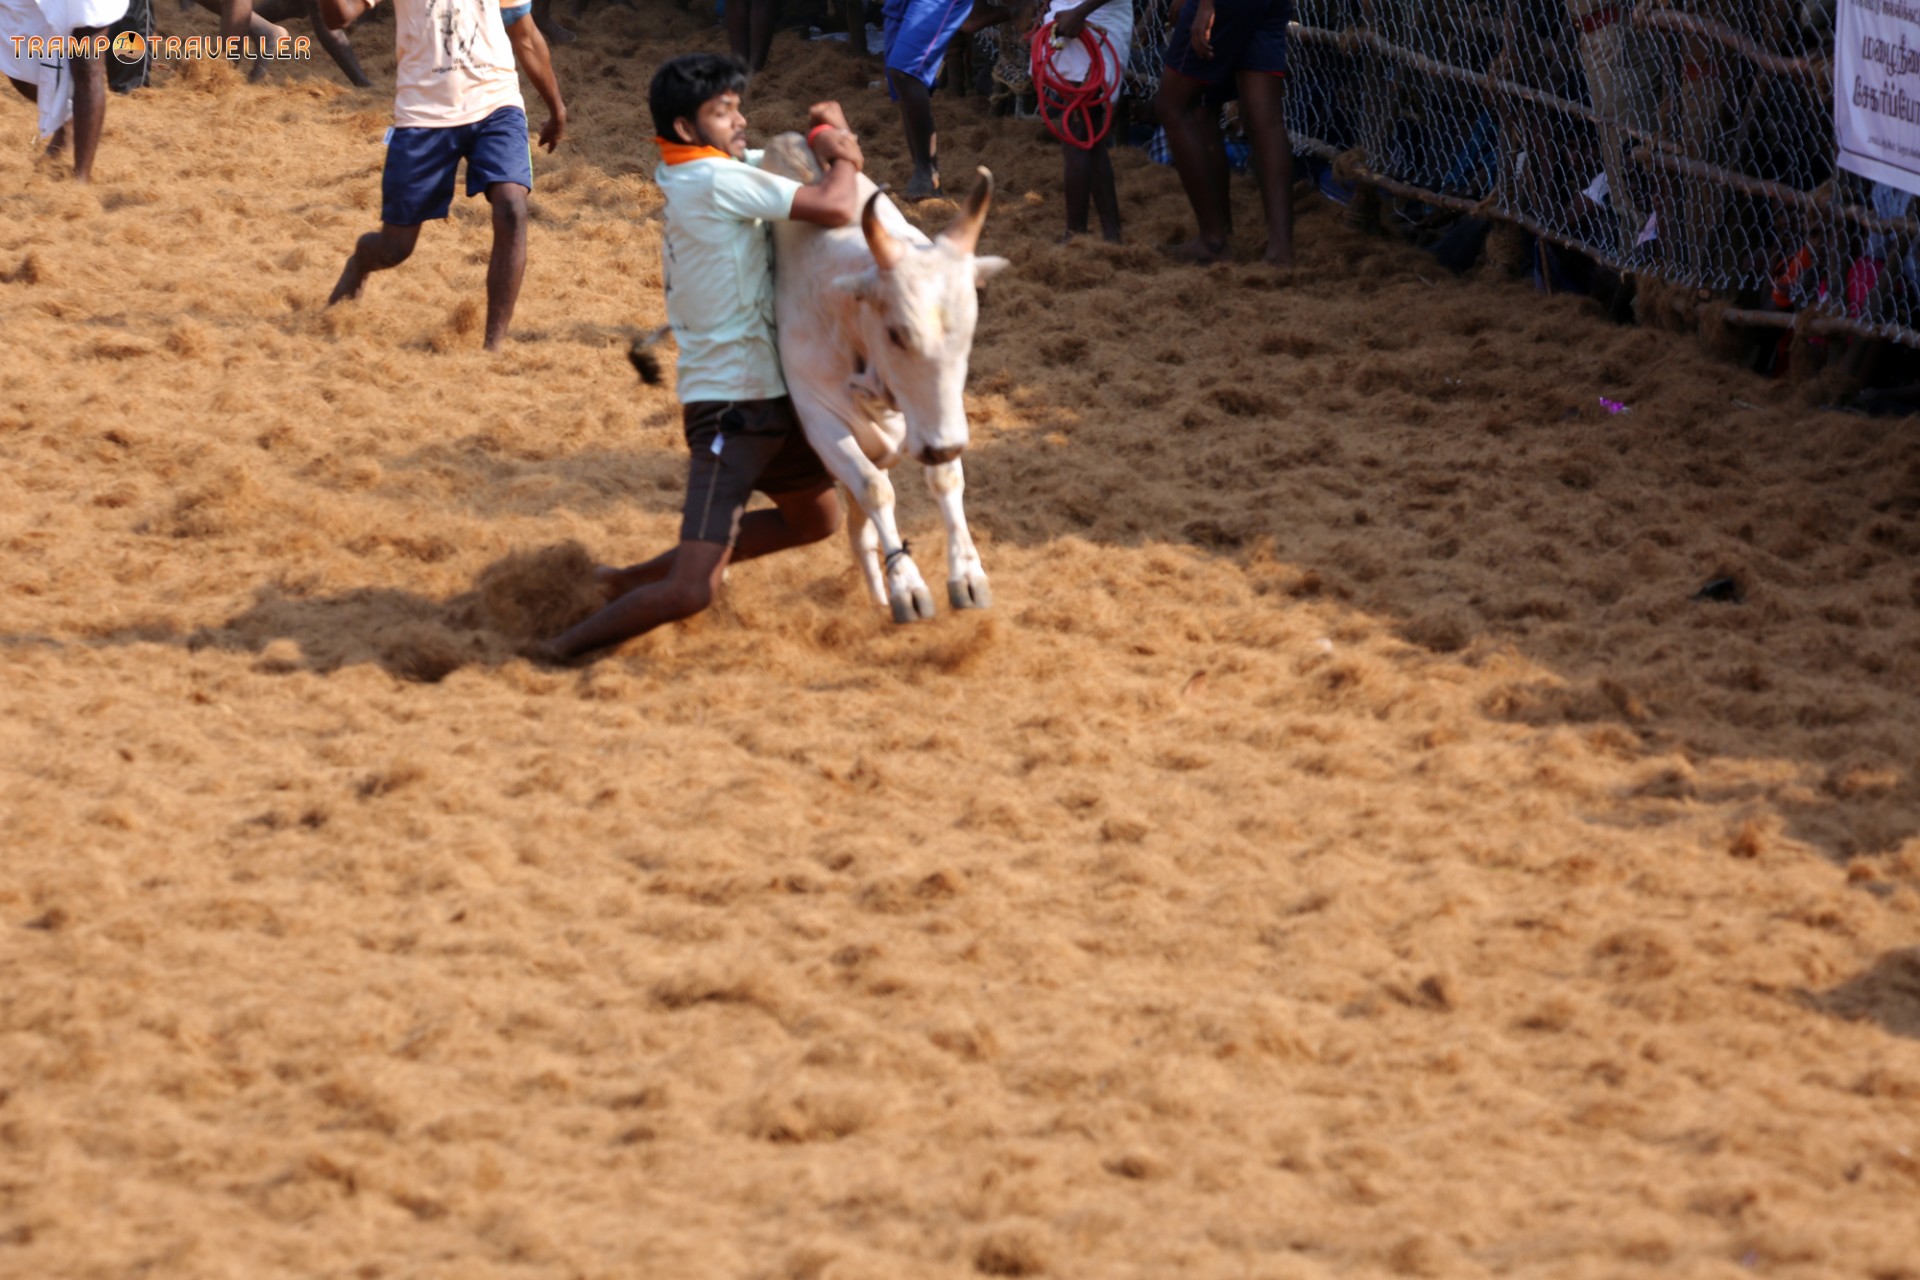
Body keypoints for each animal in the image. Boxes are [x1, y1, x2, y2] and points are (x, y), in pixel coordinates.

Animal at [756, 131, 1013, 625]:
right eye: (897, 332)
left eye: (970, 326)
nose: (945, 445)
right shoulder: (821, 421)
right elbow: (876, 490)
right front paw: (907, 587)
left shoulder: (934, 416)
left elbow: (945, 480)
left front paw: (968, 576)